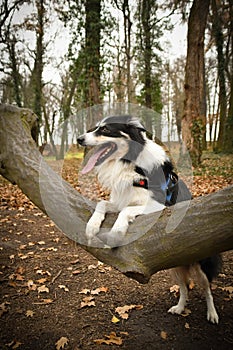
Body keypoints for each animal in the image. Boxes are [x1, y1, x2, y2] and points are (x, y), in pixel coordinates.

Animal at [77, 115, 221, 322]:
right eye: (95, 127)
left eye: (105, 129)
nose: (79, 139)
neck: (130, 162)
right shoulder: (120, 198)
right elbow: (102, 203)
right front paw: (92, 226)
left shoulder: (158, 205)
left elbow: (125, 211)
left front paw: (116, 233)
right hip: (174, 265)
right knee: (184, 288)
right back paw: (179, 308)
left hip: (202, 264)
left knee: (207, 288)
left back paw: (212, 313)